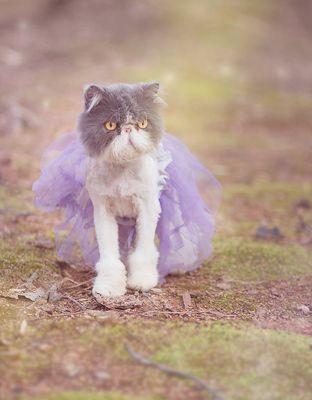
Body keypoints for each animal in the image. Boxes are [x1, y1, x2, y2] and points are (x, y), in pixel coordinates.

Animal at [79, 82, 165, 296]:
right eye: (111, 125)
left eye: (142, 123)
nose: (127, 128)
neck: (122, 170)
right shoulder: (103, 210)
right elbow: (109, 254)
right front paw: (109, 286)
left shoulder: (147, 207)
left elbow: (143, 249)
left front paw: (142, 280)